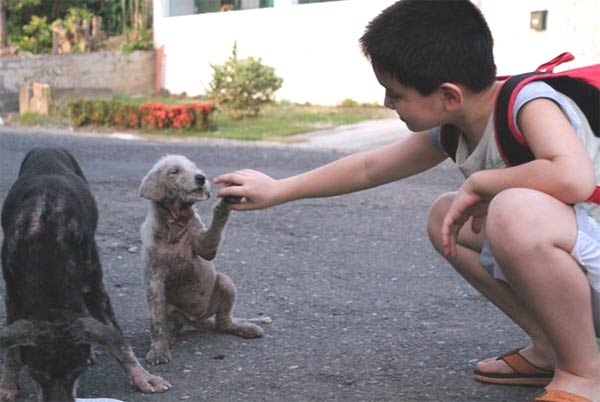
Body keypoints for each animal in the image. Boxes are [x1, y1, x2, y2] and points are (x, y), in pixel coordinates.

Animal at [0, 148, 170, 402]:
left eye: (76, 372)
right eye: (37, 374)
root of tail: (47, 147)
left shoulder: (95, 288)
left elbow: (119, 340)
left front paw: (142, 377)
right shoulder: (13, 291)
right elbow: (12, 349)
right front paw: (9, 384)